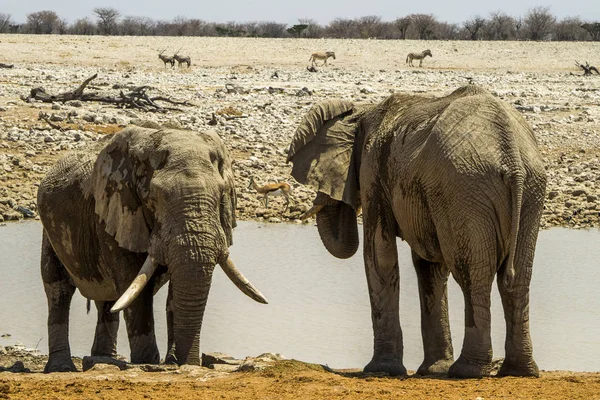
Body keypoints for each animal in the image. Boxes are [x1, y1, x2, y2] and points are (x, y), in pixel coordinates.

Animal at [37, 126, 268, 372]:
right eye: (154, 199)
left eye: (221, 196)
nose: (189, 364)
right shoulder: (117, 213)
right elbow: (135, 288)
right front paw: (147, 363)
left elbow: (174, 288)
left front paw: (174, 362)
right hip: (49, 231)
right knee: (58, 289)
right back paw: (62, 368)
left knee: (107, 302)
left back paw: (103, 359)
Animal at [288, 84, 548, 378]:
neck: (361, 111)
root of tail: (512, 157)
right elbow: (428, 266)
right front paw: (432, 369)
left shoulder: (373, 169)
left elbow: (379, 255)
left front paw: (382, 370)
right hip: (528, 190)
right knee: (517, 278)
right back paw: (519, 371)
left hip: (465, 189)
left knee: (472, 274)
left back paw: (467, 371)